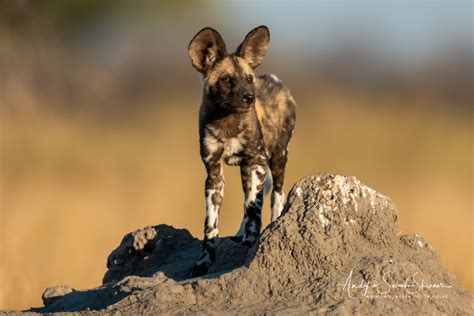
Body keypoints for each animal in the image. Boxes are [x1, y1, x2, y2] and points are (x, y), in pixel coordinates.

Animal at [188, 25, 296, 276]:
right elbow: (210, 226)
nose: (249, 97)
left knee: (275, 195)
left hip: (277, 159)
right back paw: (240, 234)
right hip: (247, 170)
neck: (226, 122)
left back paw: (272, 225)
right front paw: (204, 262)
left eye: (248, 79)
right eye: (227, 80)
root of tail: (275, 79)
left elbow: (254, 210)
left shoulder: (256, 161)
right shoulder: (214, 174)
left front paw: (251, 243)